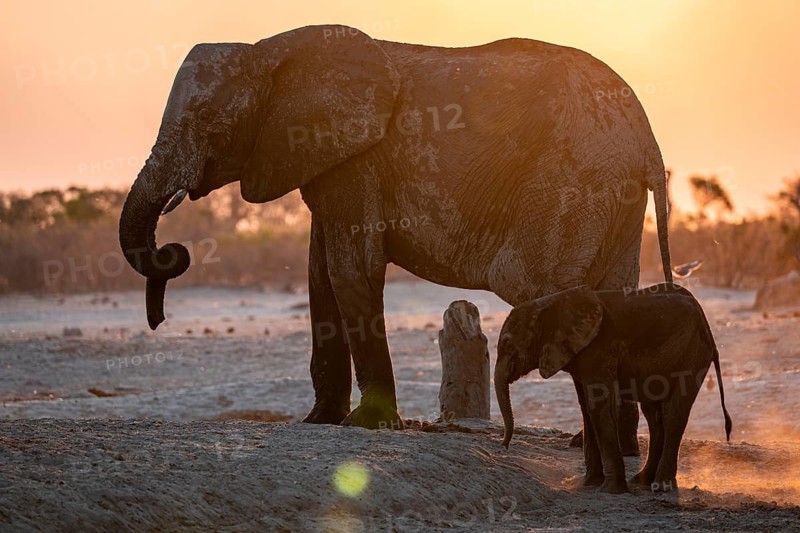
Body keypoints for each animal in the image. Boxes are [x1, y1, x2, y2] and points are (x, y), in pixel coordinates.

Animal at [118, 24, 673, 434]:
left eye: (209, 121)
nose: (158, 315)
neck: (268, 53)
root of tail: (648, 142)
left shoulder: (357, 160)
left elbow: (350, 270)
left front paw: (369, 424)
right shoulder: (326, 159)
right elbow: (321, 278)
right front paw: (319, 421)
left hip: (573, 183)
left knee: (536, 287)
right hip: (617, 199)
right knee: (616, 291)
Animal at [494, 283, 733, 494]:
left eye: (507, 344)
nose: (503, 446)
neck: (550, 302)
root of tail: (705, 323)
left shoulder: (600, 348)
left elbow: (601, 406)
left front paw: (610, 490)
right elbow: (586, 408)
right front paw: (588, 484)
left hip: (691, 355)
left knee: (673, 412)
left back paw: (661, 486)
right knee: (654, 416)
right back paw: (643, 481)